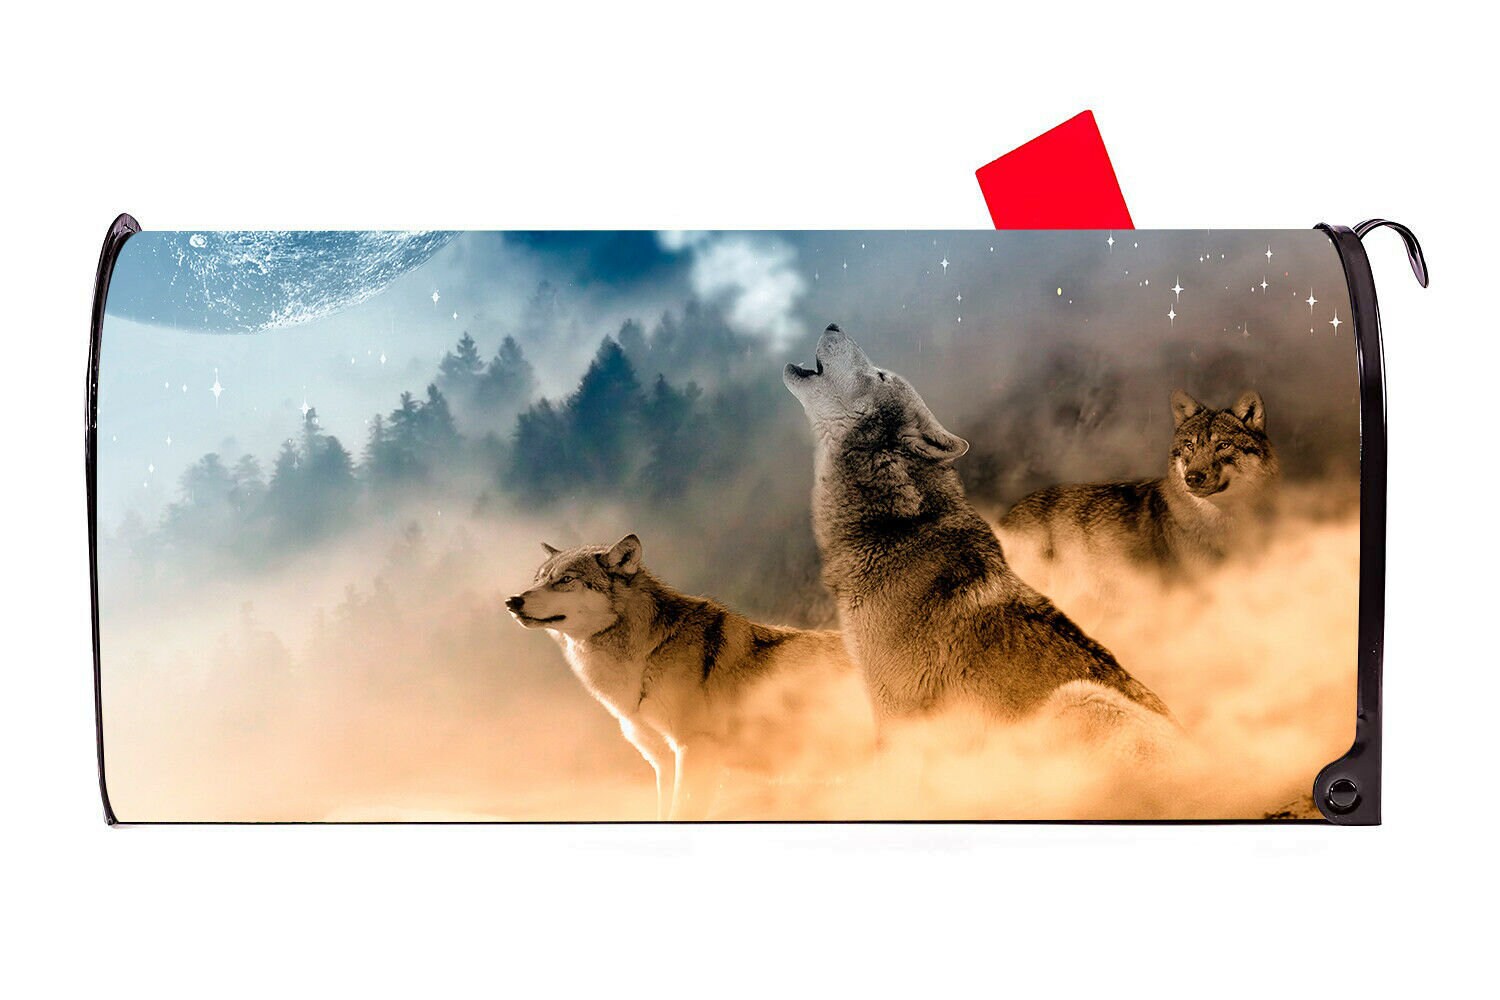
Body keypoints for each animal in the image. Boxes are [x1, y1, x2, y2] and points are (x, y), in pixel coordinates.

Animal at [507, 534, 871, 820]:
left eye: (566, 580)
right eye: (539, 579)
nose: (513, 600)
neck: (647, 656)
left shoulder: (694, 751)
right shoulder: (663, 762)